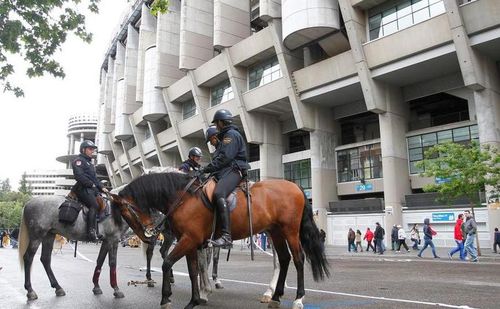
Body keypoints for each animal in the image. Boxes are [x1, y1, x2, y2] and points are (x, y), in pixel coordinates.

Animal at [17, 190, 146, 300]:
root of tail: (29, 203)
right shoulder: (113, 240)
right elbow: (112, 263)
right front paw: (116, 289)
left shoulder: (106, 241)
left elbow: (100, 261)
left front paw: (96, 287)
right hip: (37, 236)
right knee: (28, 257)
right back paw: (30, 291)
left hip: (49, 235)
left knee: (45, 259)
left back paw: (58, 287)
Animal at [110, 171, 328, 308]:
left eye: (125, 212)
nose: (145, 235)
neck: (183, 198)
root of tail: (295, 186)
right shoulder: (190, 243)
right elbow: (193, 271)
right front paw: (195, 300)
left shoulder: (189, 240)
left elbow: (168, 263)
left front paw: (166, 299)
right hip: (275, 232)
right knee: (284, 260)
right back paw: (274, 297)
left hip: (290, 231)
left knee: (298, 260)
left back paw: (298, 298)